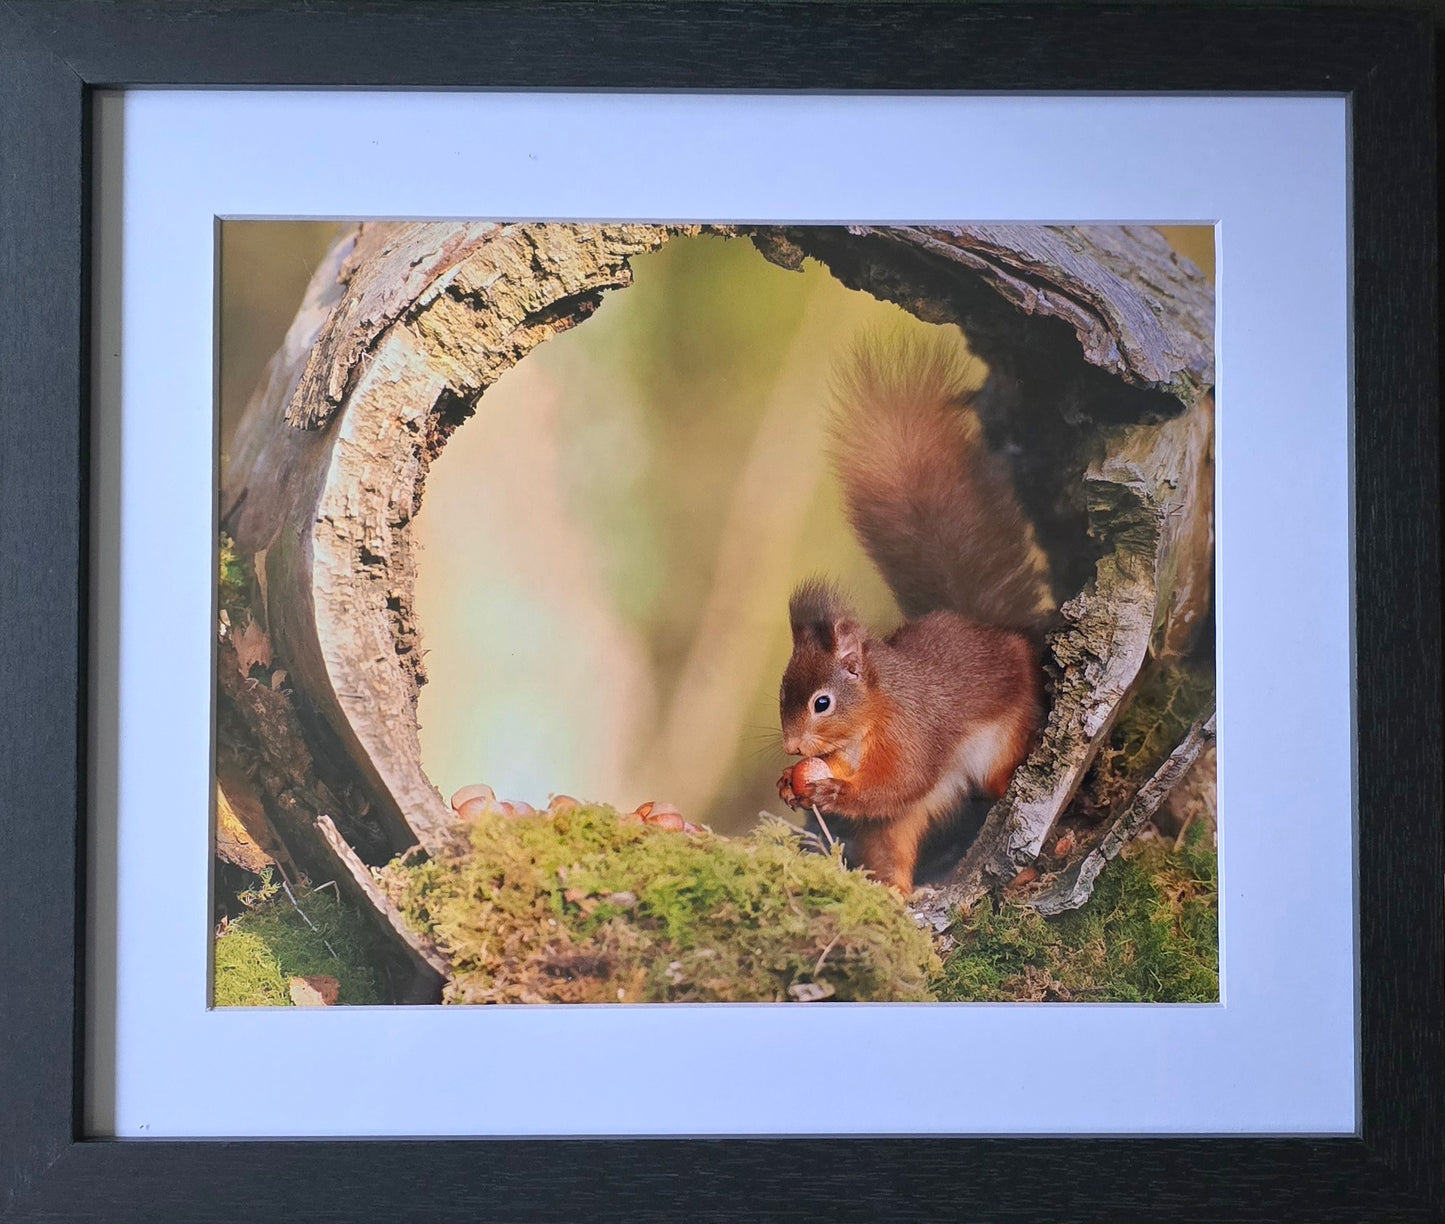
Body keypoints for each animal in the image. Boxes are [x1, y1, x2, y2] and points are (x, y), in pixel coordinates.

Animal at [776, 332, 1053, 893]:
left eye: (822, 703)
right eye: (781, 692)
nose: (792, 748)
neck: (872, 716)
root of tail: (996, 632)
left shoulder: (914, 733)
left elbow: (899, 782)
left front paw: (834, 795)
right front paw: (790, 785)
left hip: (1006, 734)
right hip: (906, 824)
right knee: (893, 841)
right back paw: (896, 890)